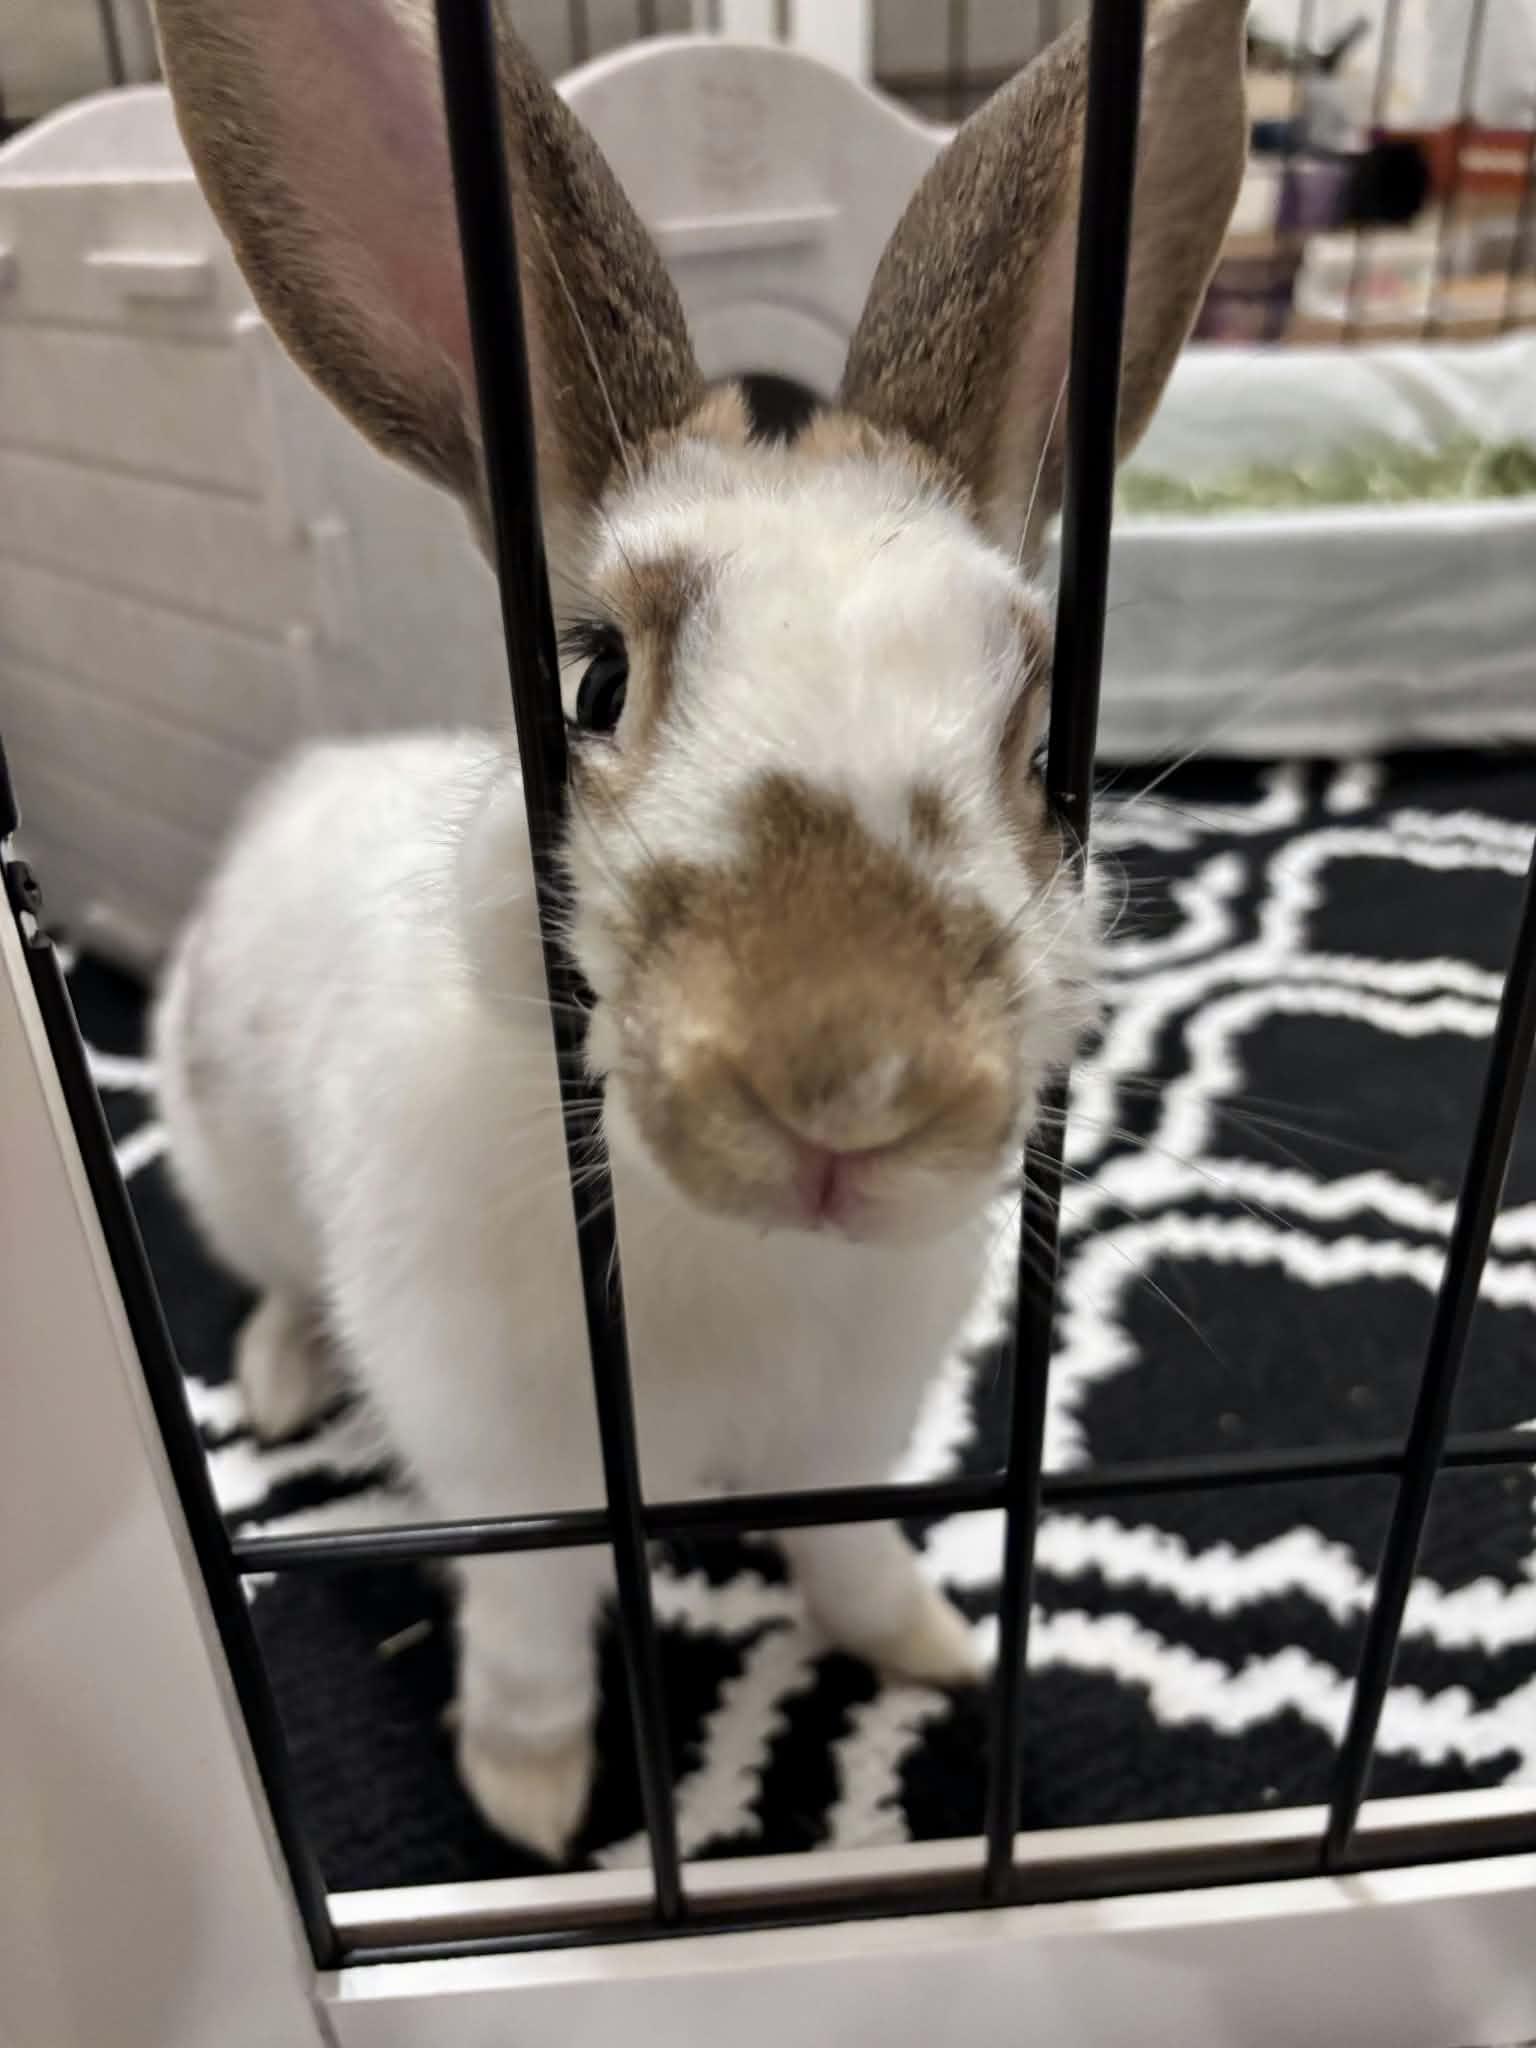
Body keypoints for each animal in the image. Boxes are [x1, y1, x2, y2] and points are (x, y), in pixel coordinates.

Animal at [149, 0, 1247, 1863]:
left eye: (1048, 751)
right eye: (592, 684)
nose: (850, 1086)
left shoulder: (855, 1429)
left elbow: (848, 1550)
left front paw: (925, 1646)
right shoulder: (509, 1467)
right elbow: (528, 1635)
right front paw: (528, 1797)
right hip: (232, 1166)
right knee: (274, 1282)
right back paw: (287, 1377)